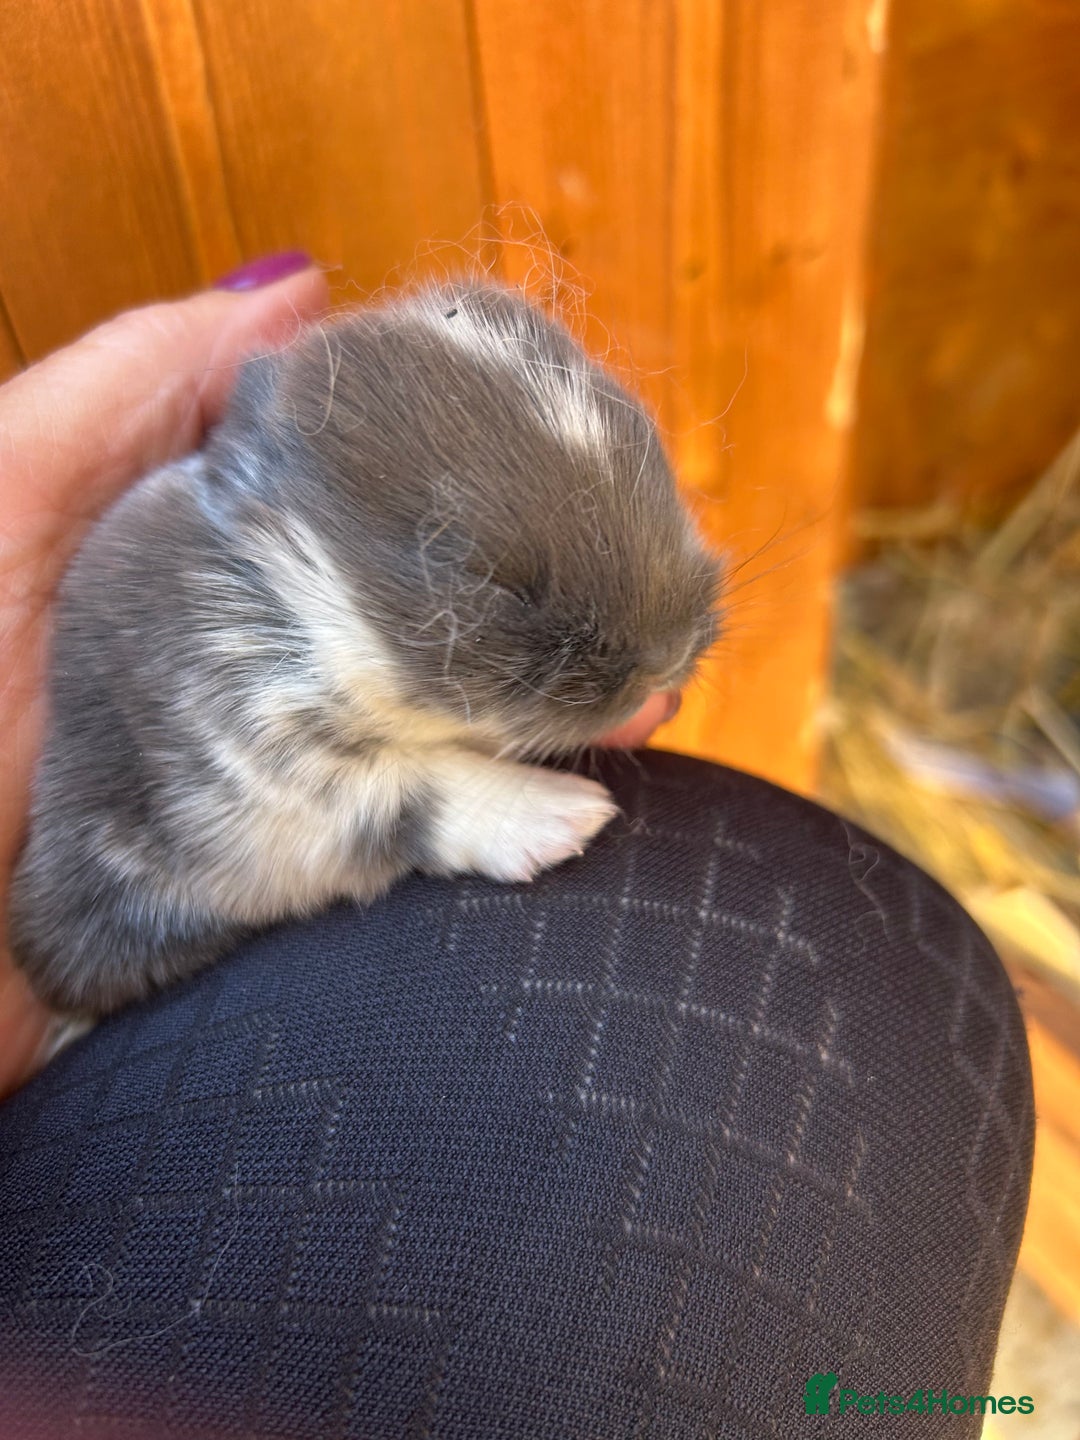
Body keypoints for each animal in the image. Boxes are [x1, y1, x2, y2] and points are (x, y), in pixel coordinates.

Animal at [9, 281, 723, 1014]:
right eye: (481, 575)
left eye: (650, 445)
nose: (668, 656)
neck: (309, 590)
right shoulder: (246, 741)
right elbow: (408, 788)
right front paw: (556, 812)